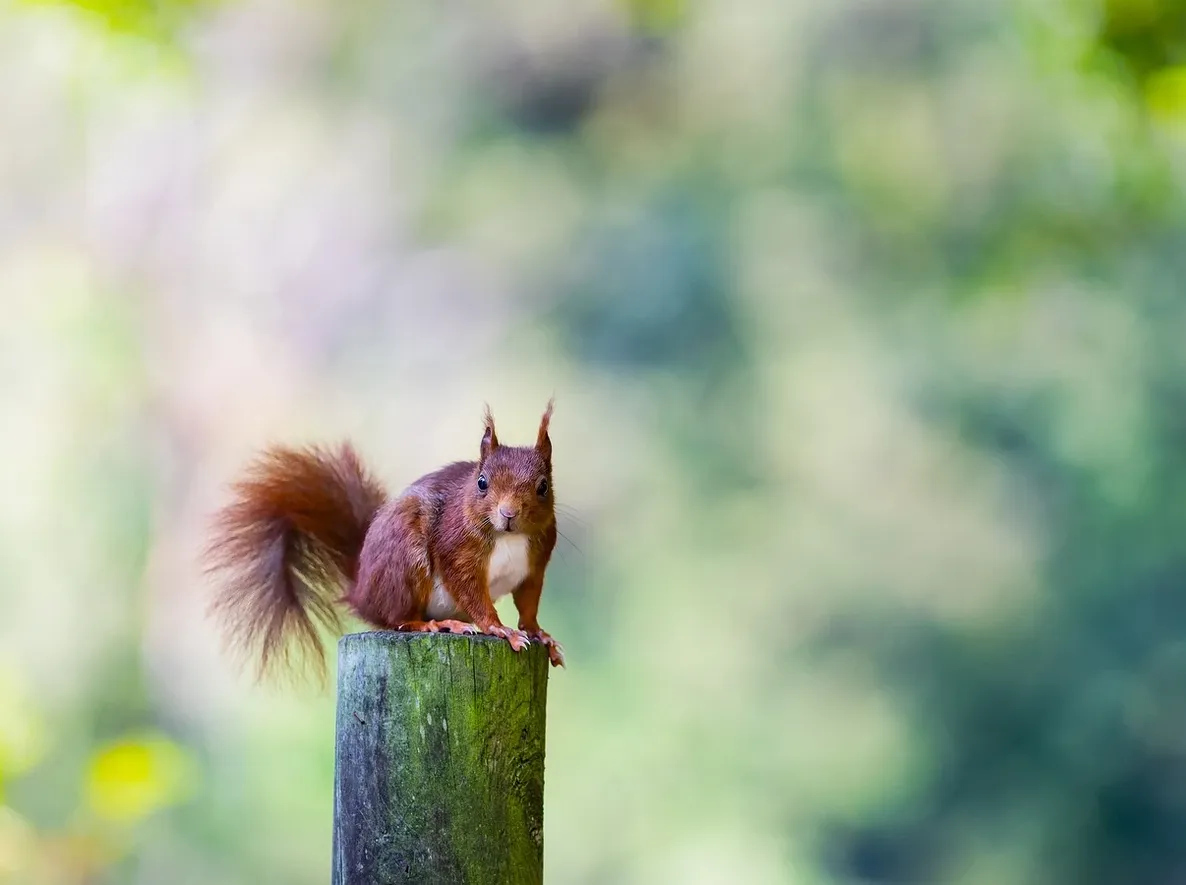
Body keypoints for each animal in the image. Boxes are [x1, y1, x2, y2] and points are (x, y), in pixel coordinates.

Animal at [203, 400, 564, 681]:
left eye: (543, 486)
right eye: (482, 482)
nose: (508, 513)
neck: (510, 537)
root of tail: (363, 590)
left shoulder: (536, 563)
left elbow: (528, 601)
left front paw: (539, 634)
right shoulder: (456, 548)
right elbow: (470, 590)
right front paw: (499, 629)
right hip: (405, 560)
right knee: (398, 618)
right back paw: (438, 624)